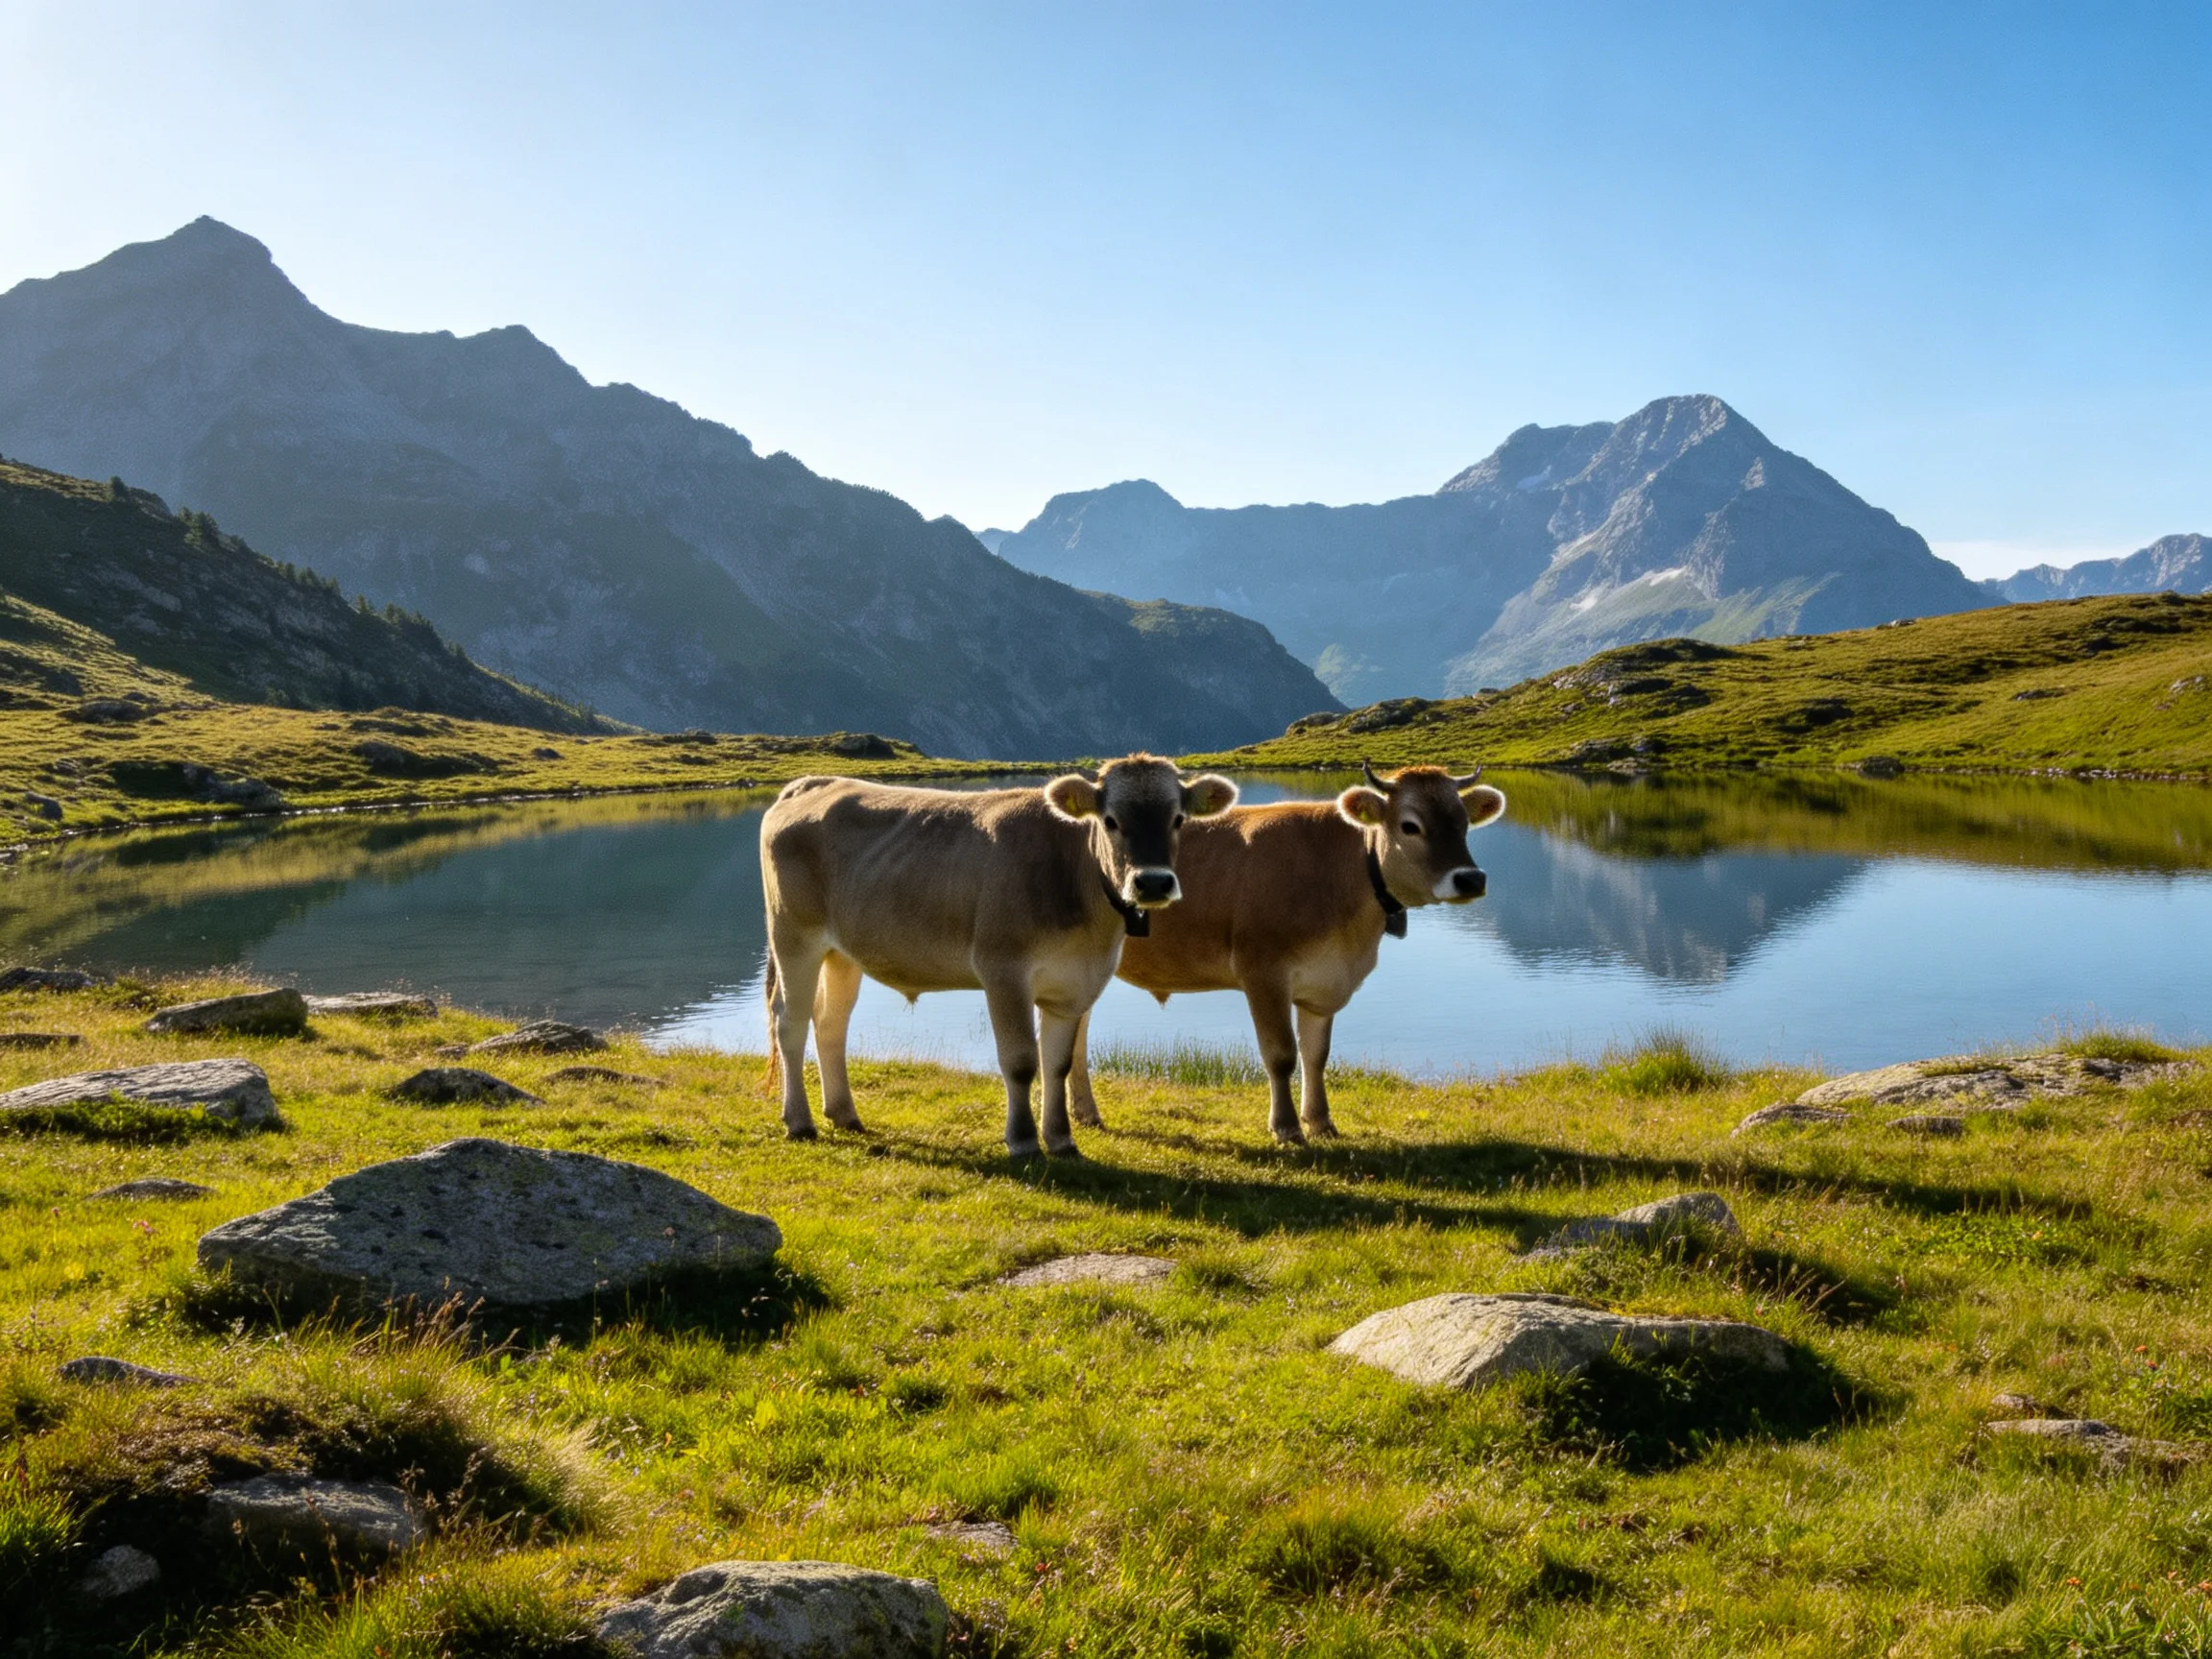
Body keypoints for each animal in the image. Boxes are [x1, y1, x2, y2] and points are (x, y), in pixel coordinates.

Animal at [760, 755, 1238, 1158]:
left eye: (1178, 819)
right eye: (1111, 821)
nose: (1153, 882)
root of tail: (815, 782)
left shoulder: (1074, 983)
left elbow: (1058, 1064)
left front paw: (1061, 1139)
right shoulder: (1003, 971)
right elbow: (1022, 1062)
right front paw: (1024, 1141)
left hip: (842, 952)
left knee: (831, 1022)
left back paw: (845, 1114)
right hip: (794, 936)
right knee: (791, 1022)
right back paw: (799, 1122)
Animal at [1066, 762, 1506, 1144]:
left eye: (1463, 823)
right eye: (1410, 826)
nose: (1470, 878)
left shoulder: (1323, 980)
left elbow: (1316, 1055)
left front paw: (1321, 1121)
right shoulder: (1263, 973)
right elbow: (1280, 1055)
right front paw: (1287, 1128)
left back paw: (1086, 1113)